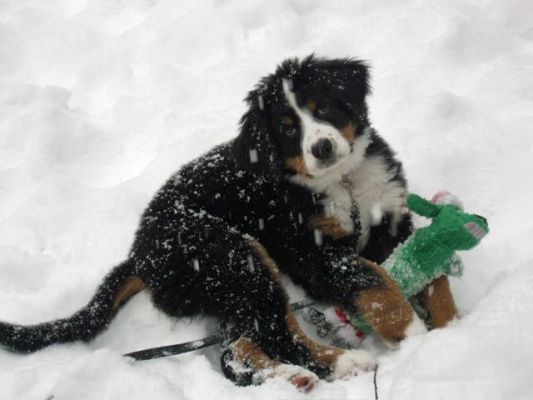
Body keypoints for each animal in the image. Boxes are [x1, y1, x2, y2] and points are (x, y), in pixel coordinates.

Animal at [0, 54, 424, 392]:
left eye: (323, 109)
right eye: (287, 128)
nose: (321, 148)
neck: (344, 182)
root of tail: (139, 254)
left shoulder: (388, 215)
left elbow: (401, 265)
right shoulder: (310, 248)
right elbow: (370, 278)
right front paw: (408, 329)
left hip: (226, 284)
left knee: (238, 345)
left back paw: (290, 377)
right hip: (230, 254)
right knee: (274, 331)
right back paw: (341, 363)